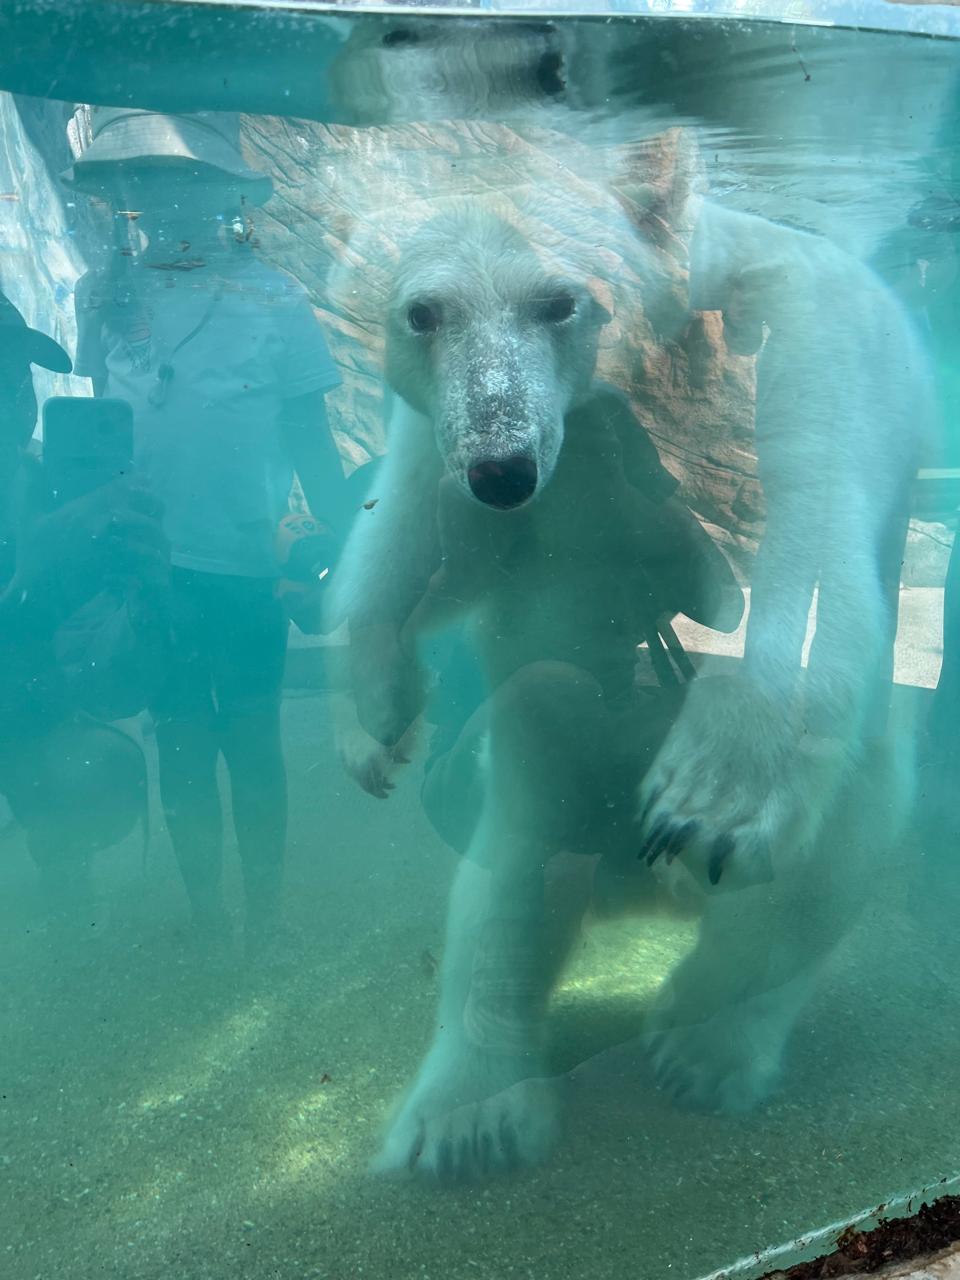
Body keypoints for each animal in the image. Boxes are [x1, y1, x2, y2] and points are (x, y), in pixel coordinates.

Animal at [330, 202, 926, 1177]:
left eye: (559, 303)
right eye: (424, 312)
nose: (502, 466)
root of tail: (640, 890)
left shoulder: (797, 344)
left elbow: (796, 550)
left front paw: (711, 793)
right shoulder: (438, 437)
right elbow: (405, 544)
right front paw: (373, 728)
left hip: (836, 791)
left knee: (822, 864)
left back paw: (702, 1043)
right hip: (555, 776)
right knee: (517, 853)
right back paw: (469, 1116)